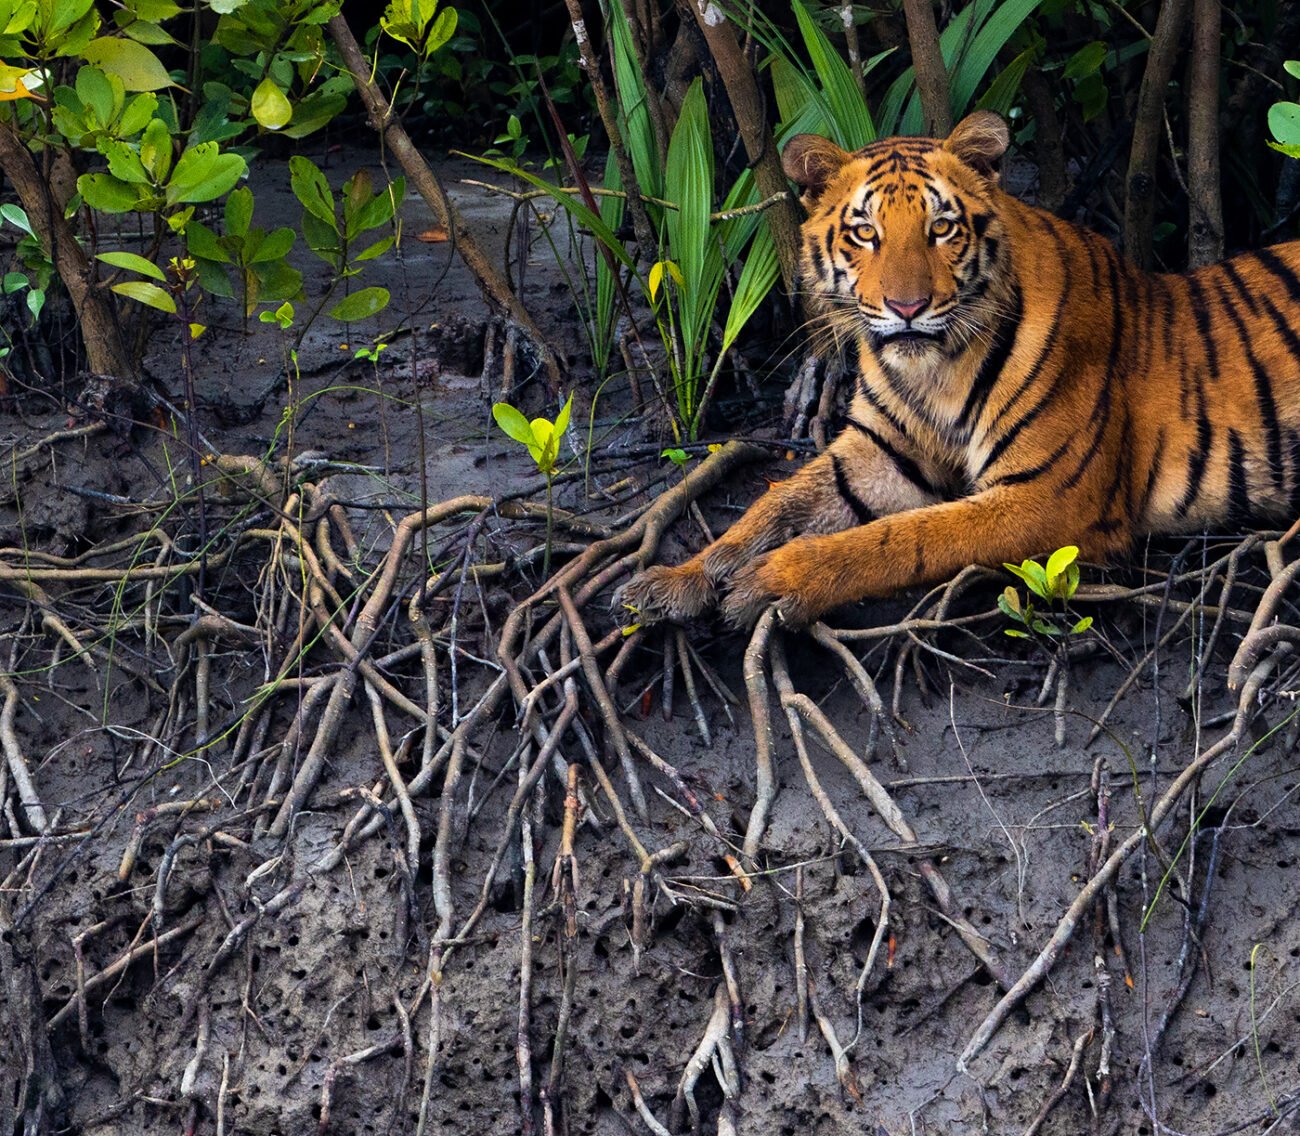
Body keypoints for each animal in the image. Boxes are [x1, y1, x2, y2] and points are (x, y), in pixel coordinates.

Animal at [616, 110, 1300, 629]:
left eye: (941, 227)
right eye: (864, 232)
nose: (907, 307)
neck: (933, 373)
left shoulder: (1049, 497)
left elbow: (908, 537)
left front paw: (776, 579)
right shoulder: (879, 452)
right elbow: (775, 501)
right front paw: (678, 578)